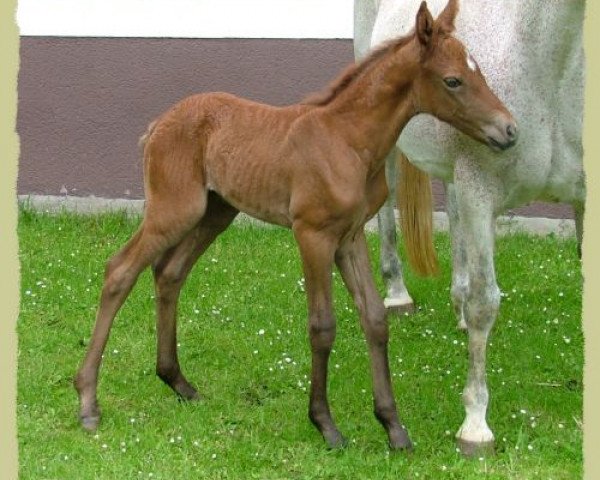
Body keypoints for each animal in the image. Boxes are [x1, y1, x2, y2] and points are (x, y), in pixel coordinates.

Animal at [74, 0, 516, 450]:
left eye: (479, 72)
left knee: (169, 272)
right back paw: (88, 401)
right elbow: (322, 325)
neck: (348, 140)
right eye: (453, 80)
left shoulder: (350, 237)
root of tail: (157, 125)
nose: (509, 130)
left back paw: (178, 381)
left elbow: (375, 319)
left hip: (215, 212)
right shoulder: (312, 234)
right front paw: (326, 424)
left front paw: (394, 427)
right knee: (120, 271)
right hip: (174, 209)